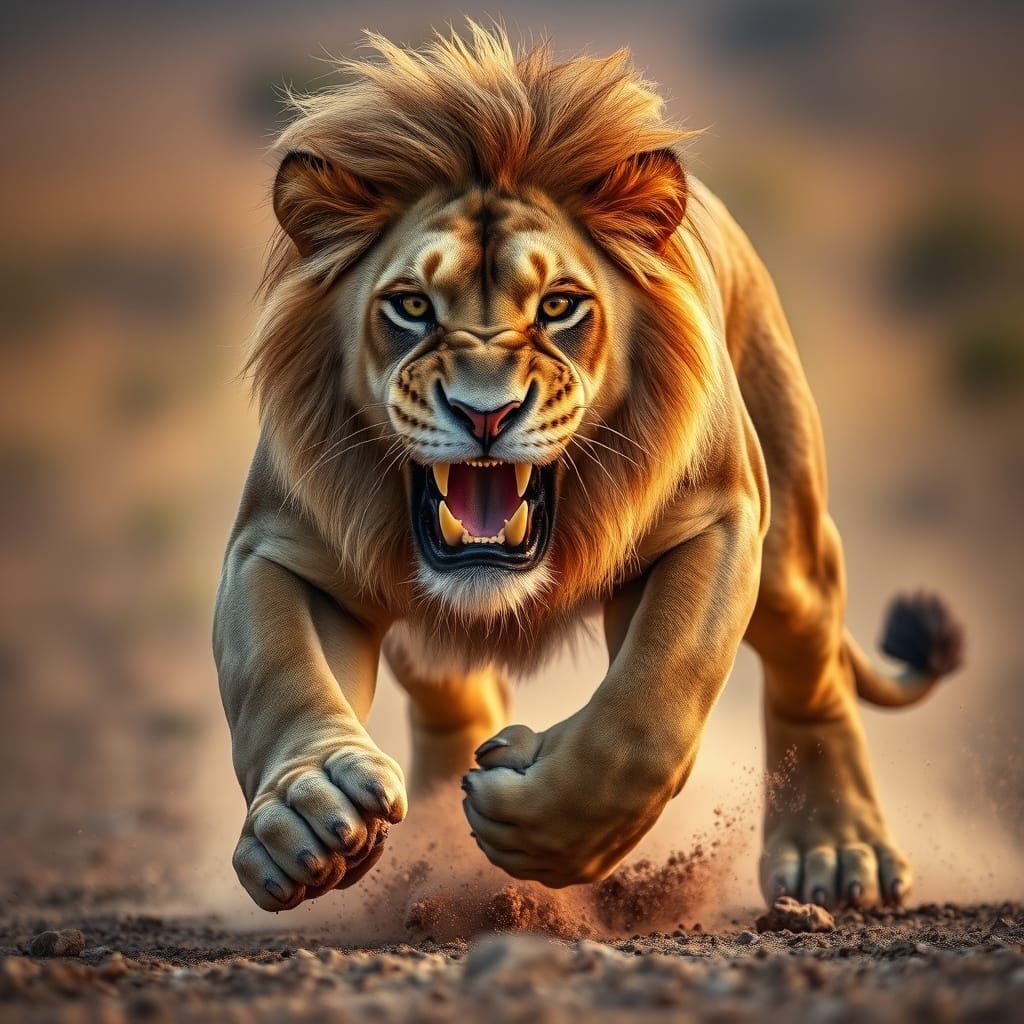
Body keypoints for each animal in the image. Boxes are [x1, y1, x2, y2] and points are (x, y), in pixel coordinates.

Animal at [214, 25, 963, 911]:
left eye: (559, 307)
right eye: (412, 307)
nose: (485, 413)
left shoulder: (716, 516)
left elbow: (650, 704)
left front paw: (540, 822)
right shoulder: (281, 544)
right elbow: (276, 675)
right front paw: (308, 807)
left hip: (787, 538)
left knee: (810, 664)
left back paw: (836, 853)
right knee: (445, 684)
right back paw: (433, 838)